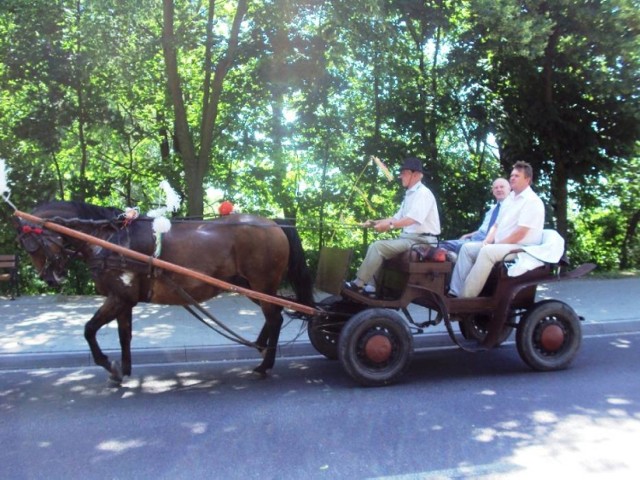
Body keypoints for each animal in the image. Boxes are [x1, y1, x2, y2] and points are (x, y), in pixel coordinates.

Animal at [15, 201, 316, 380]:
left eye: (31, 245)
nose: (50, 278)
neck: (110, 239)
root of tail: (275, 223)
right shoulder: (124, 299)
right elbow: (124, 336)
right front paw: (125, 369)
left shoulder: (120, 297)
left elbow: (89, 330)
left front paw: (108, 365)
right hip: (251, 286)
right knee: (275, 314)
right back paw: (261, 347)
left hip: (262, 284)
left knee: (274, 317)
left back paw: (265, 363)